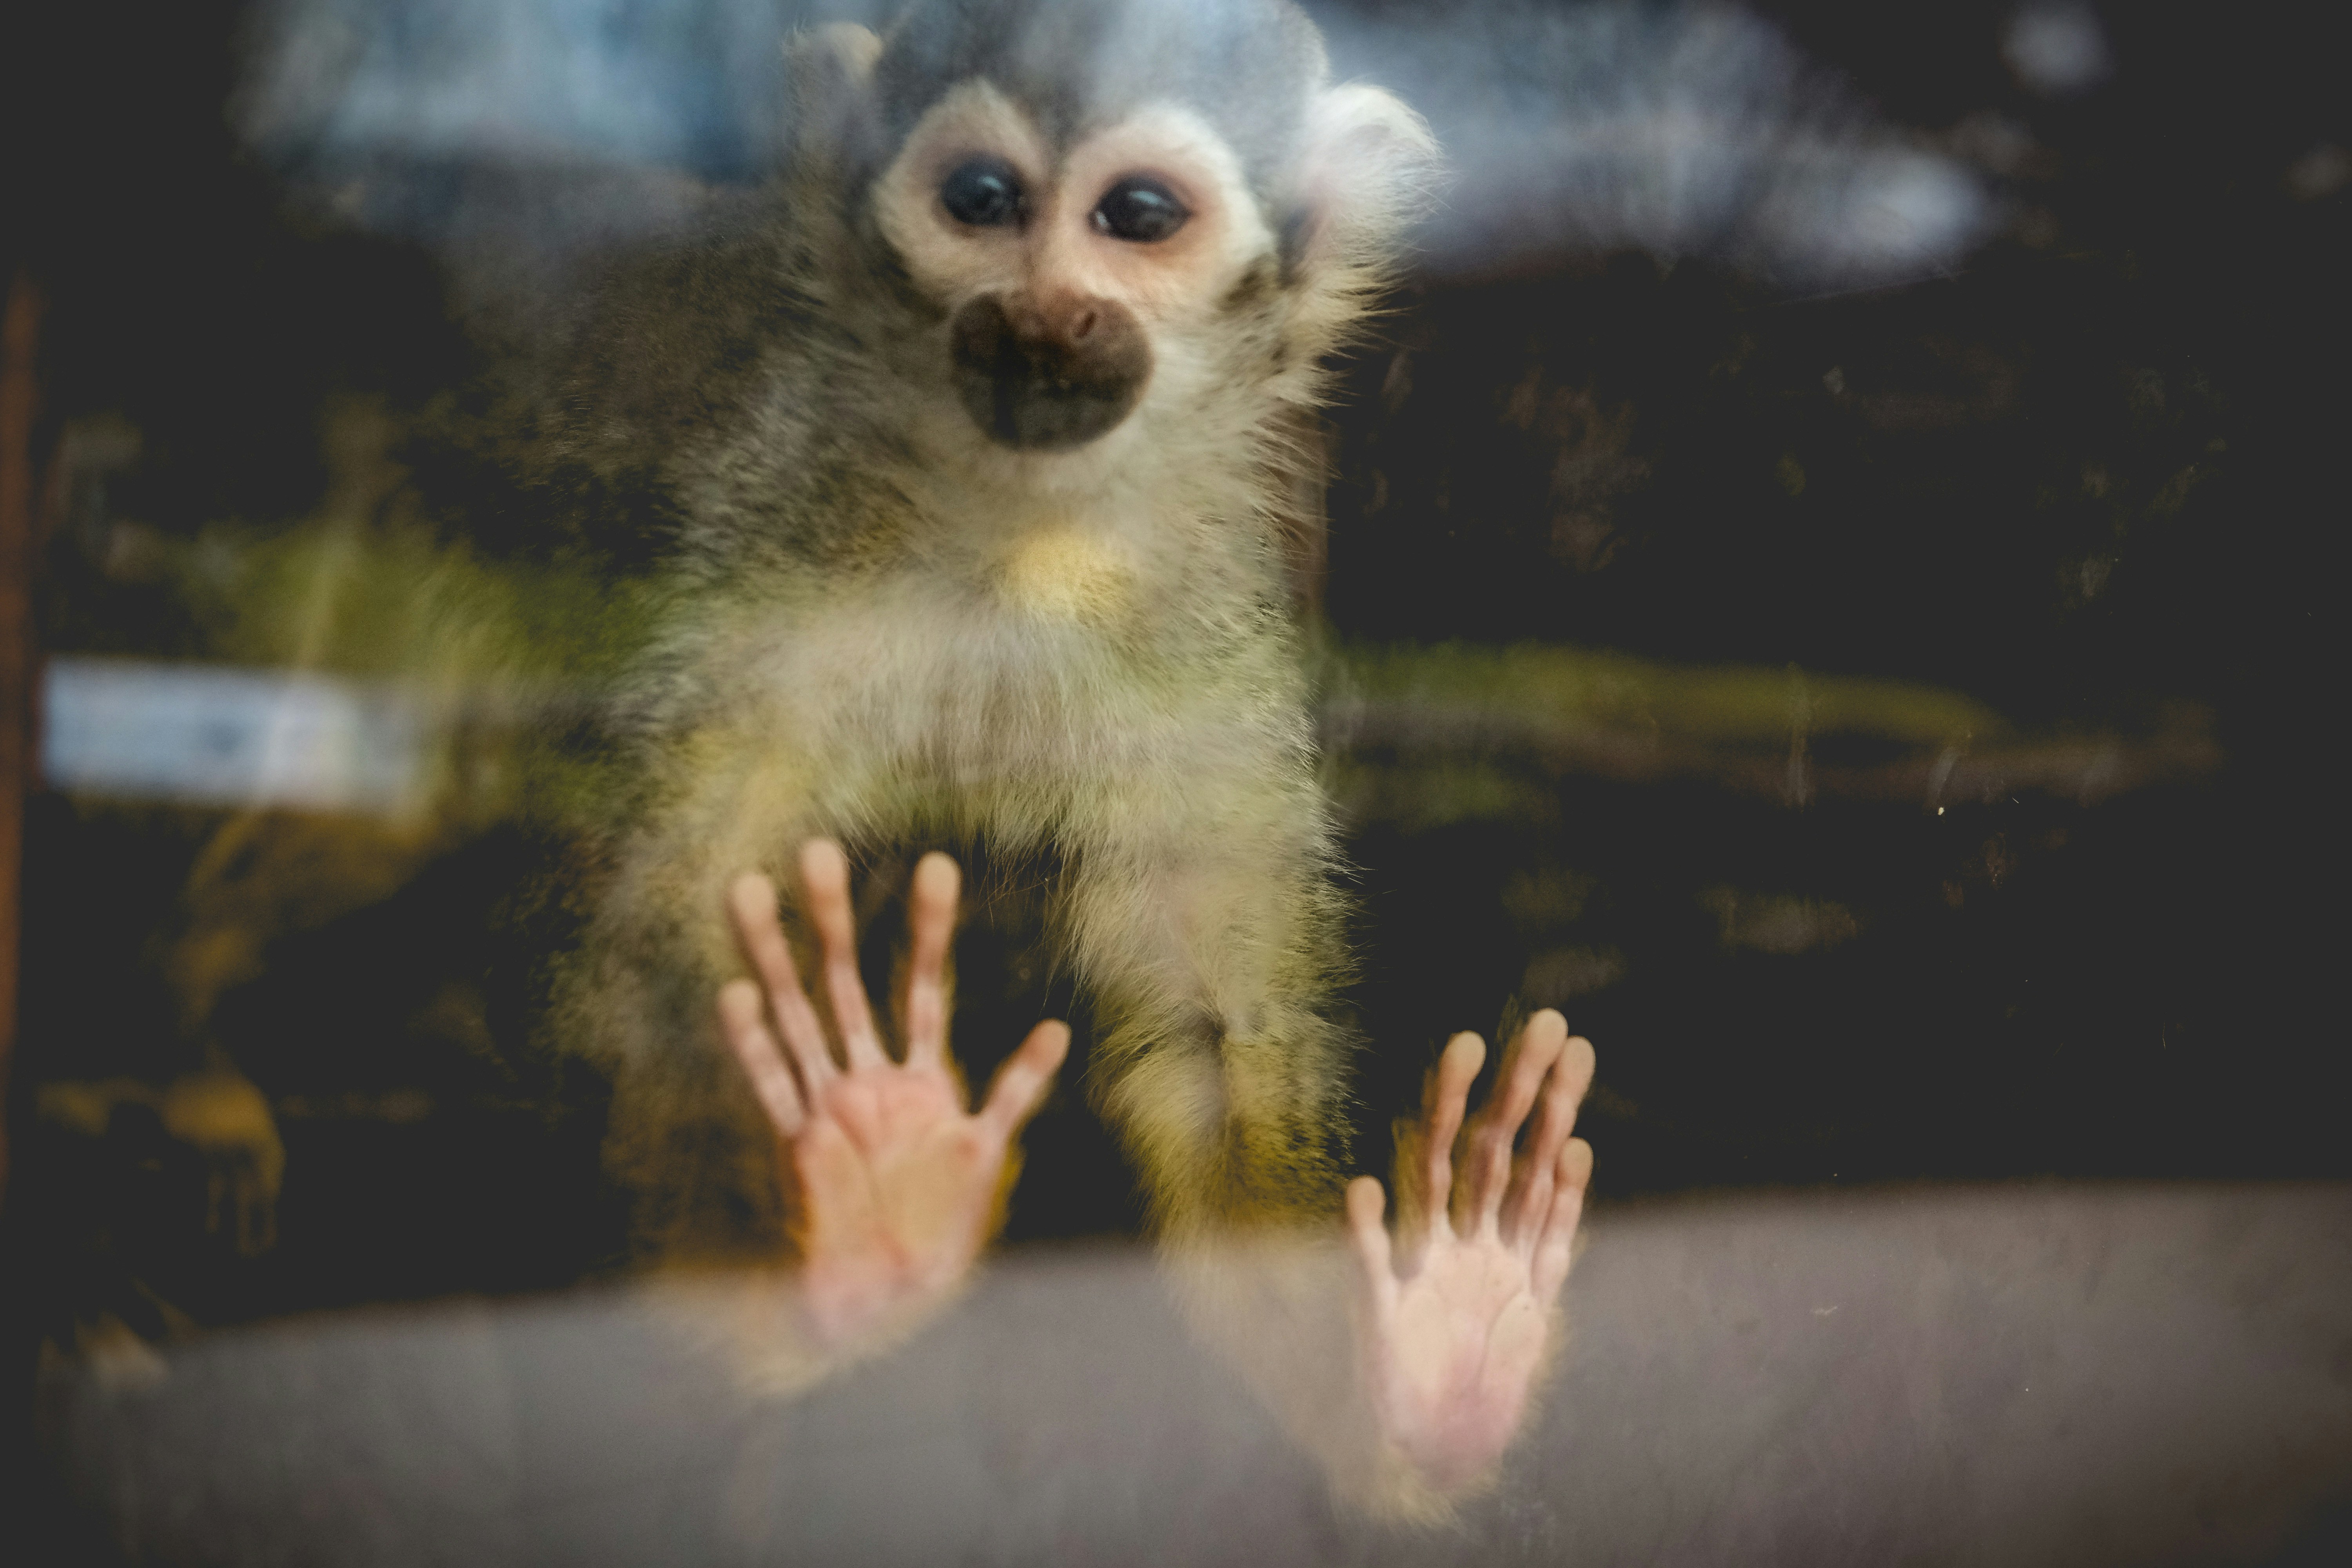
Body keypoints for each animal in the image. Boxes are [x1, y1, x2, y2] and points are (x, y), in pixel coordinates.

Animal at [500, 0, 1598, 1516]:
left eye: (1137, 217)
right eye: (981, 201)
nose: (1040, 314)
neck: (1027, 538)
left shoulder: (1201, 645)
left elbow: (1209, 1044)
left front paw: (1418, 1393)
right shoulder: (774, 536)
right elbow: (657, 943)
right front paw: (829, 1270)